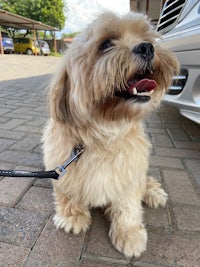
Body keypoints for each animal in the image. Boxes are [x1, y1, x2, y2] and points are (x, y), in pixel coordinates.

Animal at [42, 11, 178, 258]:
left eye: (147, 38)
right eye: (106, 44)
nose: (147, 47)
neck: (104, 134)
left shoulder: (129, 173)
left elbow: (128, 206)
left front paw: (129, 232)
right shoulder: (63, 170)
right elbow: (68, 194)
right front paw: (73, 217)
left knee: (145, 181)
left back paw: (153, 192)